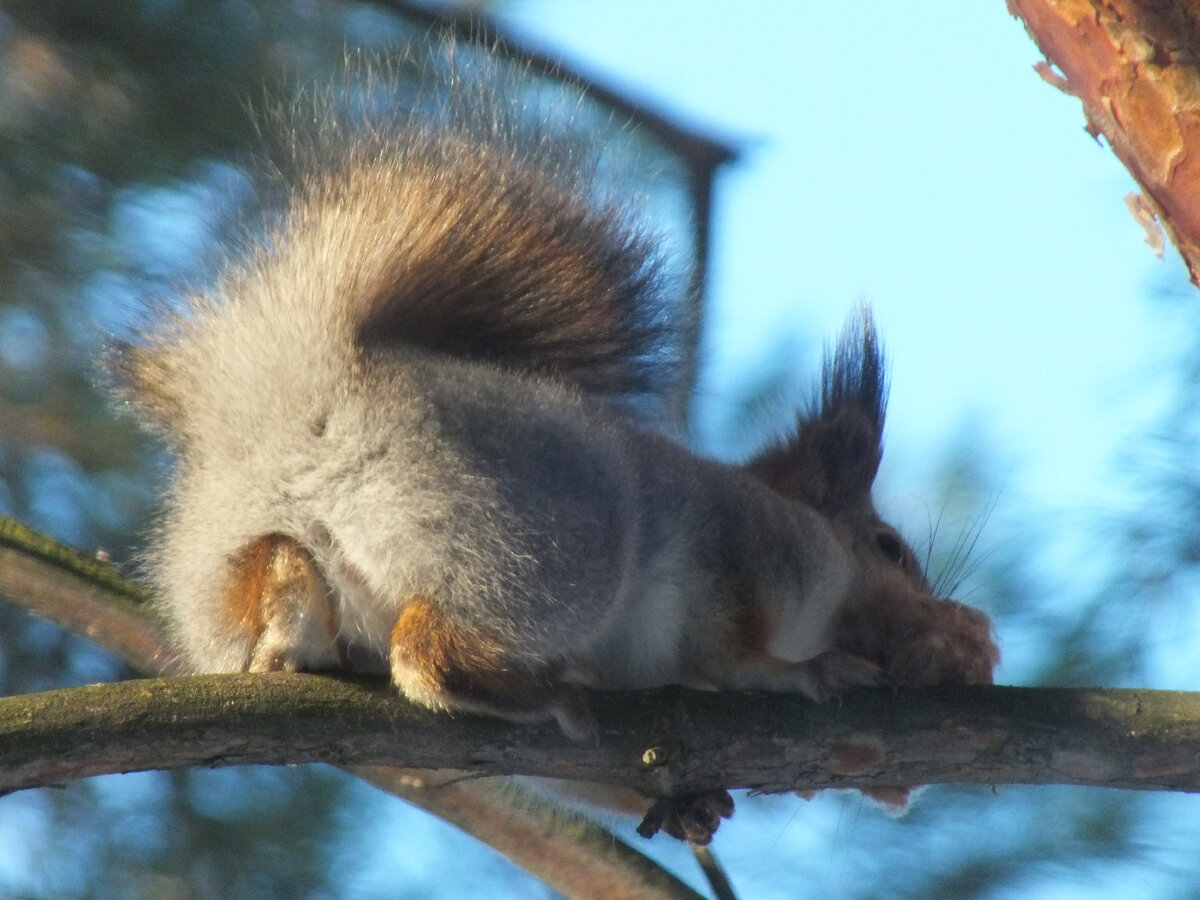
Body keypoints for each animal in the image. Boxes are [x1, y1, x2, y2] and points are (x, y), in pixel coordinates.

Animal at [112, 47, 998, 844]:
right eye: (889, 547)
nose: (967, 632)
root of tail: (311, 415)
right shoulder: (747, 554)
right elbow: (735, 648)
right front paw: (803, 674)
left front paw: (691, 802)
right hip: (543, 541)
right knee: (425, 655)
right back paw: (537, 691)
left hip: (248, 566)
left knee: (286, 579)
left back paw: (286, 633)